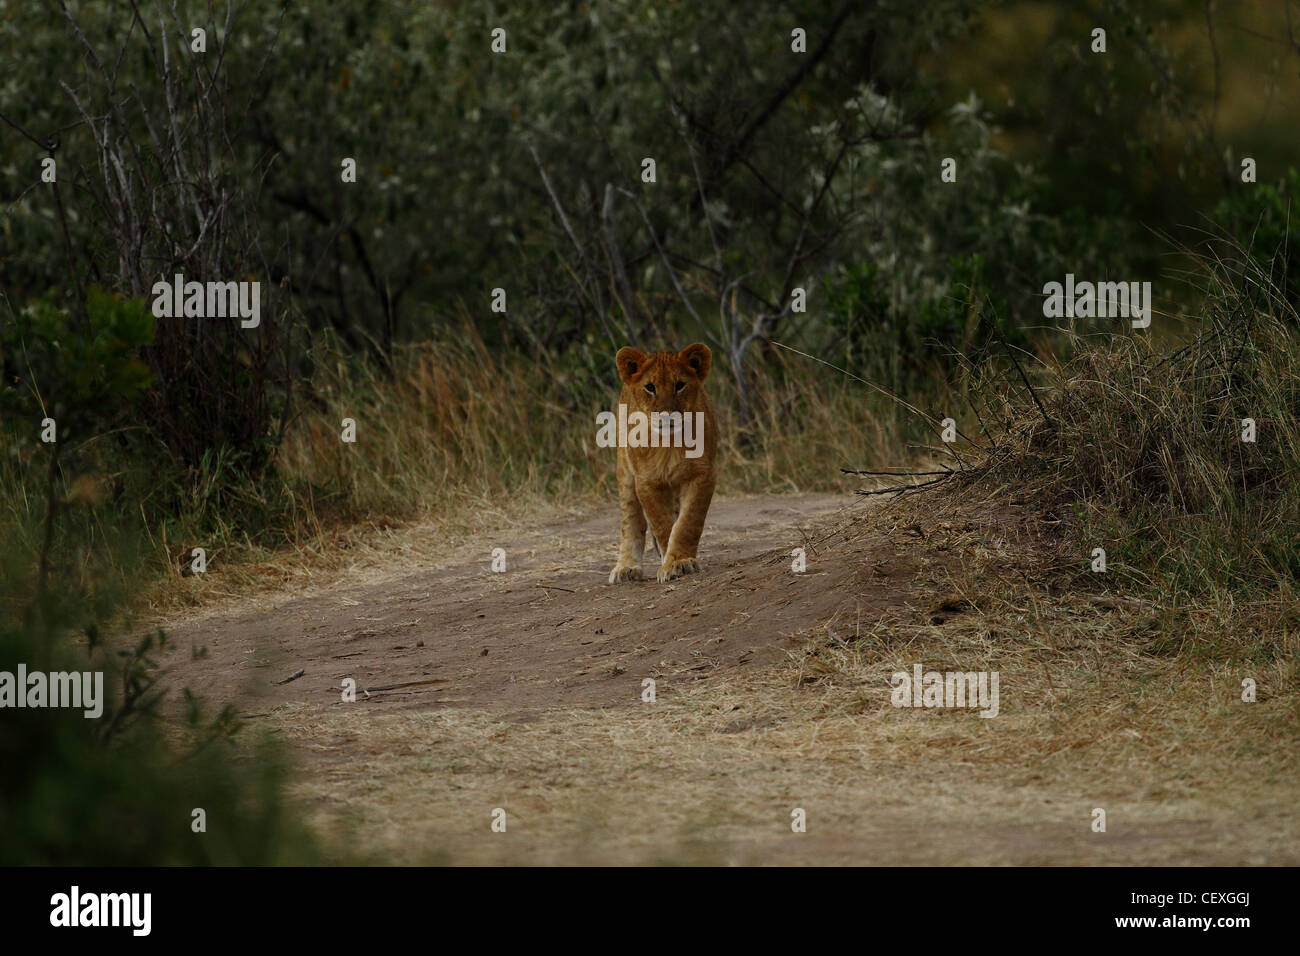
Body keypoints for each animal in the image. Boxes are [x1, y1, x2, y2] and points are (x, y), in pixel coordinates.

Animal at [608, 343, 718, 584]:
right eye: (650, 387)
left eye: (680, 385)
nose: (667, 416)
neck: (670, 443)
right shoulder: (646, 481)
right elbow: (663, 524)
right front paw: (673, 563)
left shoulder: (702, 475)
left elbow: (688, 522)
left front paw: (680, 561)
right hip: (625, 475)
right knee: (631, 521)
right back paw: (626, 567)